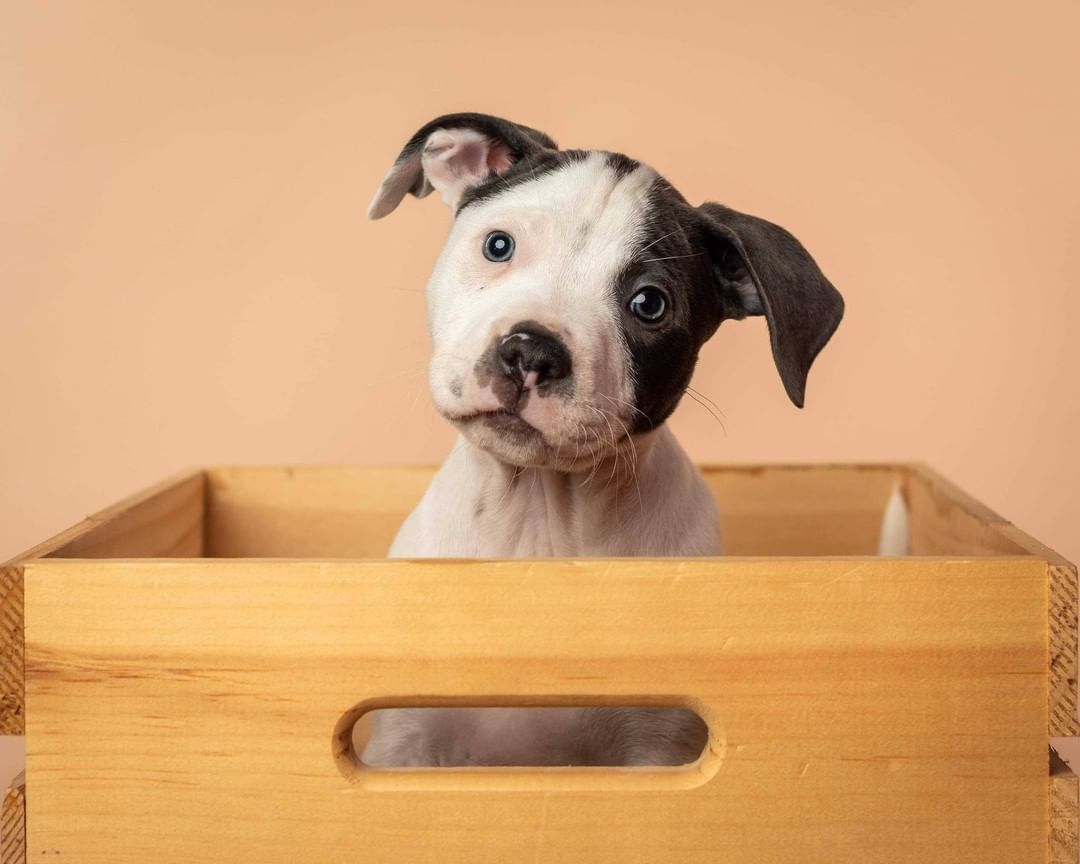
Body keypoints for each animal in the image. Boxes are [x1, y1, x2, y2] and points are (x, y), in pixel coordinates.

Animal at [362, 114, 842, 768]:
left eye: (649, 304)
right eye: (498, 246)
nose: (531, 353)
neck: (539, 522)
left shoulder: (658, 753)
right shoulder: (403, 746)